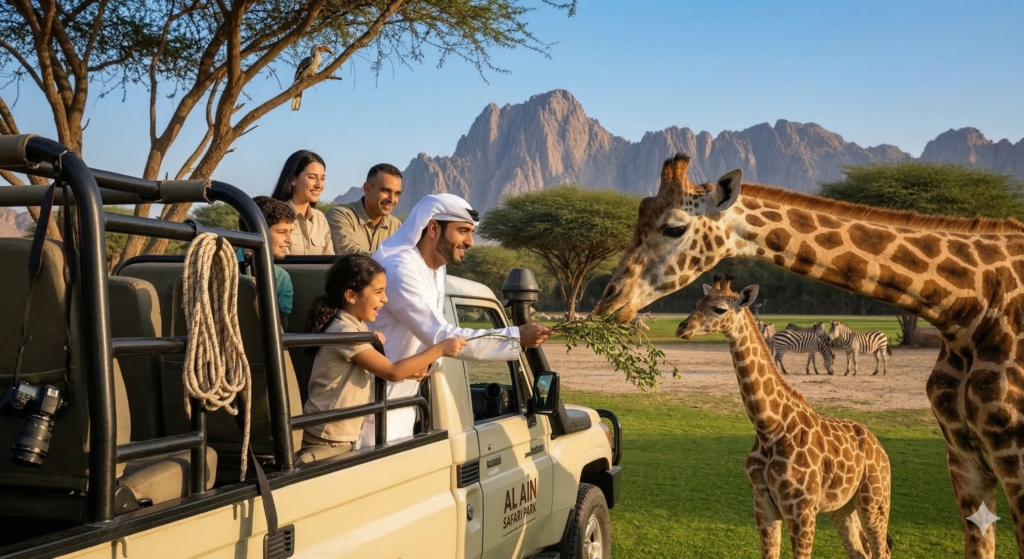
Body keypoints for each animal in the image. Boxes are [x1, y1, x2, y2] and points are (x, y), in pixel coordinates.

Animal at [678, 276, 892, 559]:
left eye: (719, 309)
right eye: (697, 303)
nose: (682, 328)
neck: (769, 428)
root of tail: (879, 447)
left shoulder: (801, 511)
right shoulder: (763, 508)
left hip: (874, 500)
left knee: (881, 550)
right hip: (842, 506)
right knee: (860, 551)